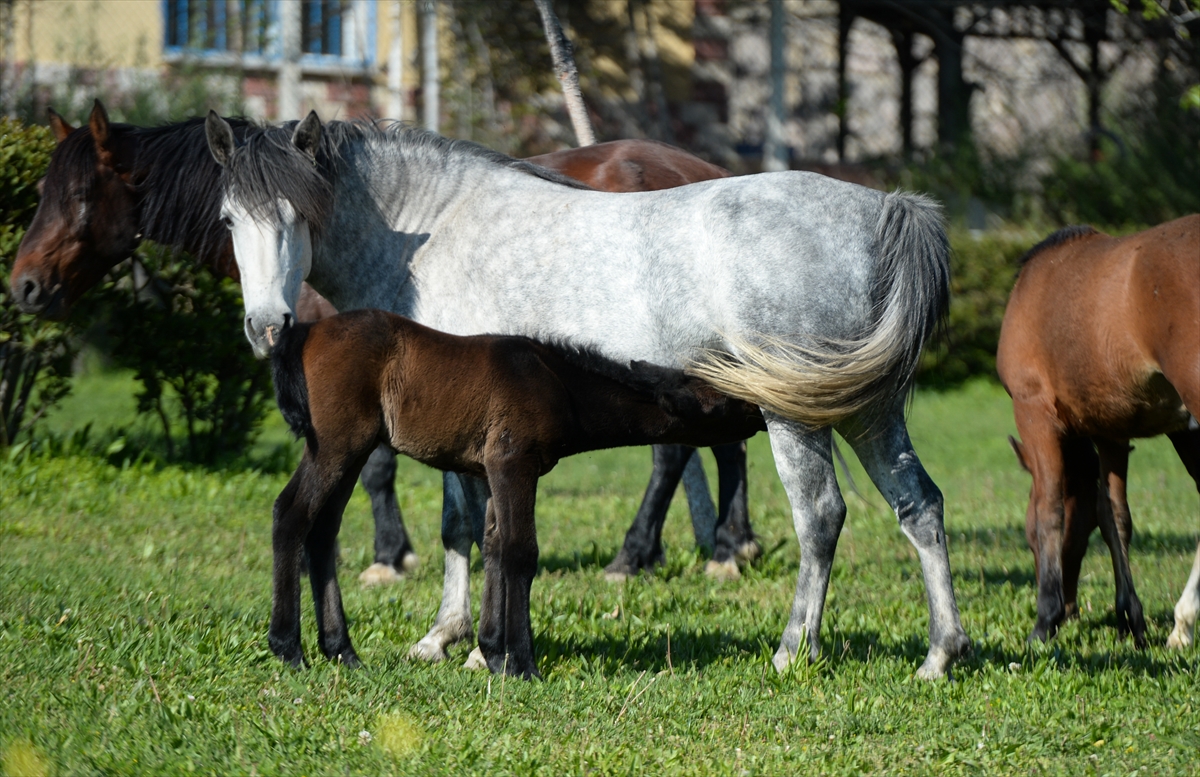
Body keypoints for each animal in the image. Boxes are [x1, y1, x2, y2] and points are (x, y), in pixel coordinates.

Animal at [9, 101, 753, 589]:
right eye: (41, 191)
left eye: (80, 195)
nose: (24, 286)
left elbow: (380, 470)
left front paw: (390, 559)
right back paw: (713, 547)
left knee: (685, 450)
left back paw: (663, 555)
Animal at [270, 306, 768, 671]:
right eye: (724, 402)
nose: (765, 411)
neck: (557, 381)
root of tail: (306, 333)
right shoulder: (513, 463)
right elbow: (520, 552)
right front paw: (521, 662)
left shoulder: (493, 471)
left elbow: (492, 544)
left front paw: (492, 651)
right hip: (337, 445)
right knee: (291, 513)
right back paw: (289, 649)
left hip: (351, 451)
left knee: (323, 530)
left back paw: (342, 650)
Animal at [993, 215, 1200, 647]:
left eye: (1028, 537)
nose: (1070, 607)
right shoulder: (1111, 431)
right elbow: (1114, 516)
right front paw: (1130, 617)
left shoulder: (1035, 414)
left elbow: (1050, 510)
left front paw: (1045, 619)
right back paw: (1182, 624)